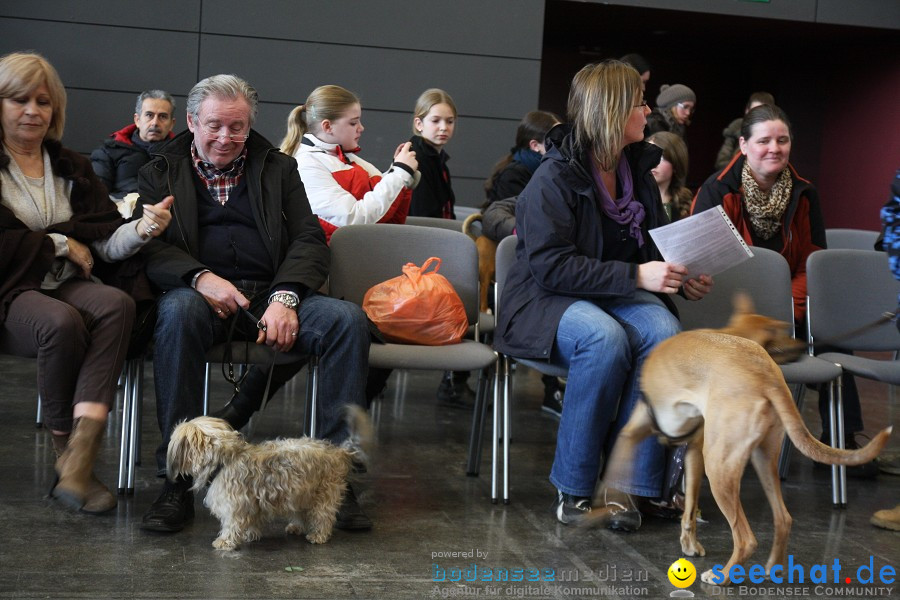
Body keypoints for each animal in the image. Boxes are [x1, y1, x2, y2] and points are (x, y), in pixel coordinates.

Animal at [167, 408, 370, 552]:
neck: (223, 461)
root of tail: (338, 452)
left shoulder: (235, 504)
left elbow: (232, 523)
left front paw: (225, 541)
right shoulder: (252, 503)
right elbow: (252, 520)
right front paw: (250, 534)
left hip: (323, 494)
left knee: (324, 516)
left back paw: (318, 535)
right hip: (301, 493)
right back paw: (296, 527)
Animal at [592, 296, 892, 584]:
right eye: (781, 334)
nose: (801, 346)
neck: (730, 333)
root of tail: (766, 375)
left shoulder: (632, 434)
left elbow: (615, 470)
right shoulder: (694, 452)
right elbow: (689, 508)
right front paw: (689, 543)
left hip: (719, 468)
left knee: (746, 539)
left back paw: (721, 577)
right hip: (760, 460)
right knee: (783, 519)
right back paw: (772, 569)